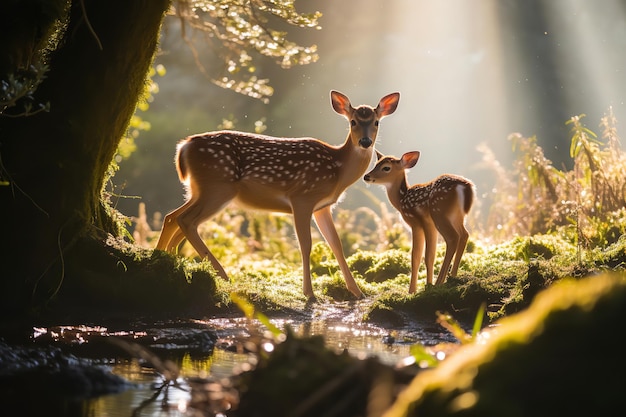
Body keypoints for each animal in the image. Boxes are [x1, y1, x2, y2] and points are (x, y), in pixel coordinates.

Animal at [156, 90, 400, 300]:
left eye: (376, 122)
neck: (337, 170)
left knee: (173, 217)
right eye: (353, 122)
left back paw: (164, 260)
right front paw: (309, 293)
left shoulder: (322, 207)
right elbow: (305, 244)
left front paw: (357, 292)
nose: (365, 142)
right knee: (186, 220)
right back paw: (222, 275)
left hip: (199, 190)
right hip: (218, 187)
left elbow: (336, 244)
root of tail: (183, 147)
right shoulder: (302, 197)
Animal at [360, 150, 472, 292]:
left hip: (439, 213)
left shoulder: (416, 222)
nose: (366, 176)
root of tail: (465, 188)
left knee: (453, 238)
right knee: (464, 234)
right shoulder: (429, 225)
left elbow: (418, 257)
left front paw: (414, 290)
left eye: (386, 168)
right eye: (375, 164)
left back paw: (439, 282)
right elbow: (430, 255)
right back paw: (453, 276)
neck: (401, 200)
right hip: (457, 216)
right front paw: (425, 285)